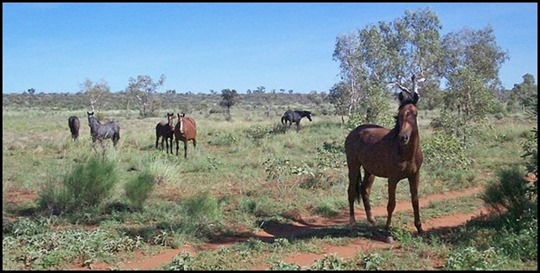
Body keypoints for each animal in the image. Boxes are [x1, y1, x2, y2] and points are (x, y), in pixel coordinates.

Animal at [344, 74, 424, 238]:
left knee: (365, 190)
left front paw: (419, 228)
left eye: (414, 114)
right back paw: (352, 222)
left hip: (369, 171)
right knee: (351, 191)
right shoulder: (392, 179)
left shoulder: (414, 176)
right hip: (353, 166)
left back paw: (371, 220)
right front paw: (387, 232)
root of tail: (353, 133)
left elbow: (415, 201)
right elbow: (391, 204)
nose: (403, 137)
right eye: (399, 114)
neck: (406, 153)